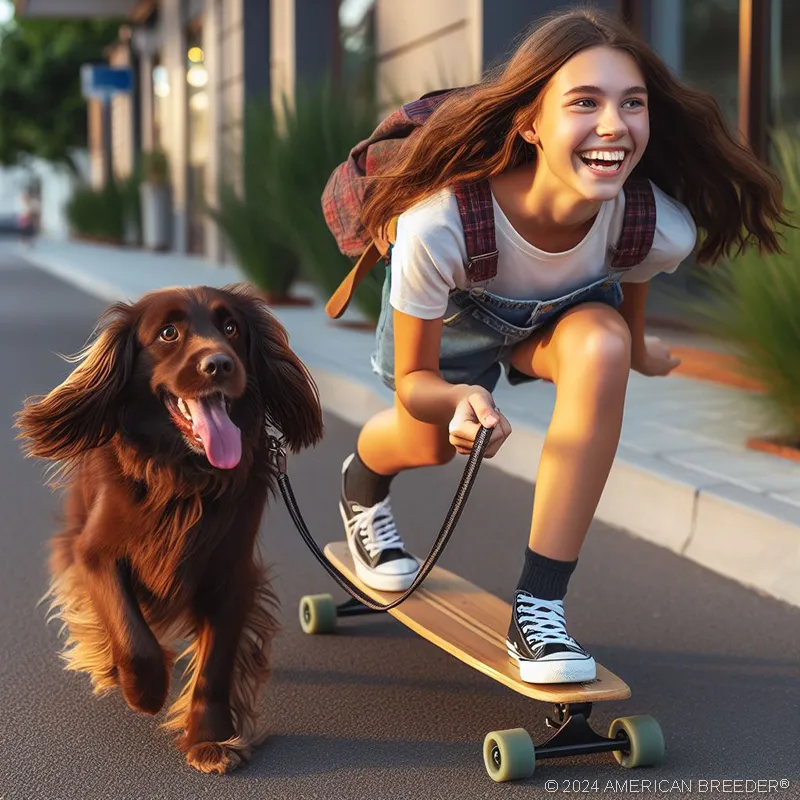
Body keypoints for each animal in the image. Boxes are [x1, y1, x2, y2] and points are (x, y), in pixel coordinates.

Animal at [15, 284, 324, 772]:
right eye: (168, 333)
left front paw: (212, 740)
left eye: (231, 327)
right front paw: (143, 689)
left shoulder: (231, 573)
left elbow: (216, 664)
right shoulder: (95, 552)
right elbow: (130, 632)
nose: (219, 364)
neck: (184, 477)